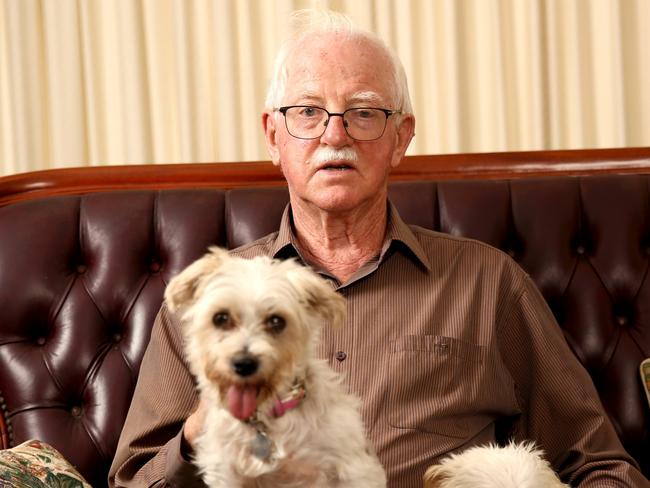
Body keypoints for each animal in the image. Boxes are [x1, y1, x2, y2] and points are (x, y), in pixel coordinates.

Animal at [165, 248, 384, 488]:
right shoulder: (227, 476)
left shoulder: (353, 469)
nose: (244, 364)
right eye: (220, 318)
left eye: (276, 321)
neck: (263, 422)